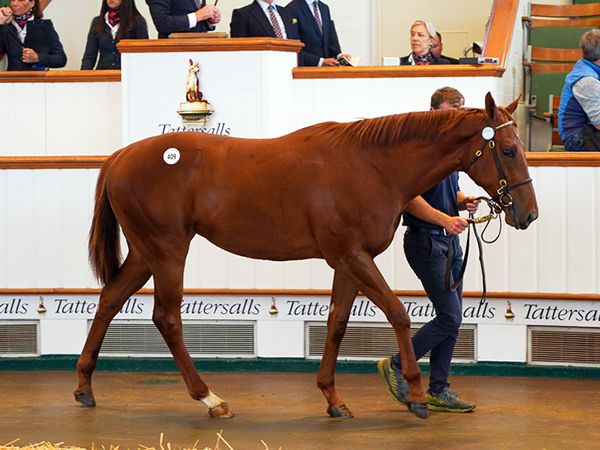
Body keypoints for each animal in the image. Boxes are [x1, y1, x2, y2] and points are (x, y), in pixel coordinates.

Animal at [75, 94, 540, 422]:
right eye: (508, 150)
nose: (528, 213)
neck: (372, 166)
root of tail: (120, 157)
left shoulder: (348, 262)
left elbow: (336, 324)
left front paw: (333, 398)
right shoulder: (353, 256)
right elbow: (398, 314)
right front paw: (415, 394)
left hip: (145, 253)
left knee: (109, 299)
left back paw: (84, 386)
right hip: (168, 250)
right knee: (167, 318)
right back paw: (210, 398)